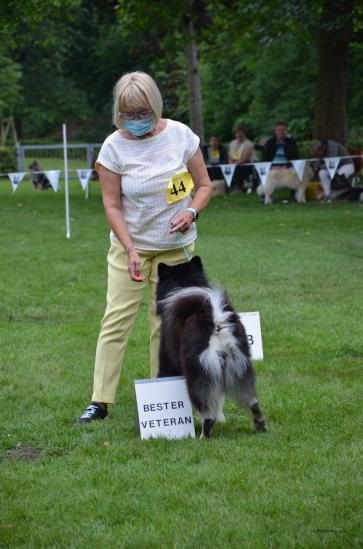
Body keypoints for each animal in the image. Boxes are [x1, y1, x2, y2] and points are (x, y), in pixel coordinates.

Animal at [156, 255, 268, 438]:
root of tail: (216, 320)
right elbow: (218, 400)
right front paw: (221, 418)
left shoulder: (167, 365)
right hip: (241, 367)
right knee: (253, 402)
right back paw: (260, 426)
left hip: (198, 372)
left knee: (205, 410)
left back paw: (204, 436)